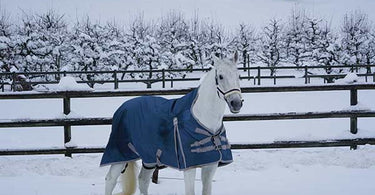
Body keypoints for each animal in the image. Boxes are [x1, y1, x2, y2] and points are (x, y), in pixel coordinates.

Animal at [103, 52, 244, 195]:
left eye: (238, 75)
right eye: (220, 76)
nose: (236, 103)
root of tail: (122, 108)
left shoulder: (210, 166)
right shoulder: (189, 168)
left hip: (149, 159)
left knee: (143, 180)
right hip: (120, 156)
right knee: (110, 180)